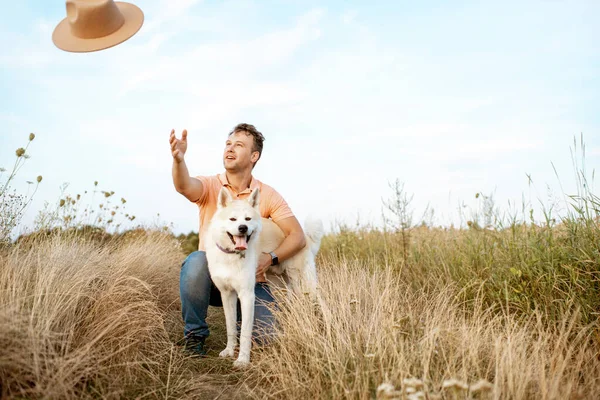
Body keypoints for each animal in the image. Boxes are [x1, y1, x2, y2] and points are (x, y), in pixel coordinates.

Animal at [205, 186, 322, 368]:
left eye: (248, 219)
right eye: (232, 219)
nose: (243, 228)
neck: (231, 255)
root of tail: (304, 237)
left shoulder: (247, 295)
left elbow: (245, 332)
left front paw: (243, 360)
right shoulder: (227, 294)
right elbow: (230, 327)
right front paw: (229, 351)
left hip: (303, 285)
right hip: (280, 290)